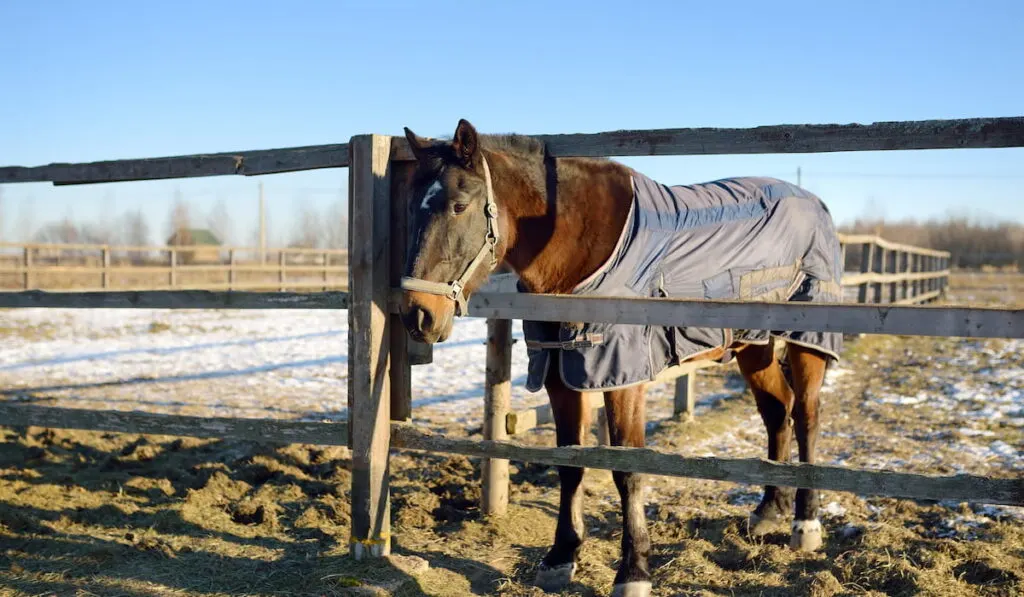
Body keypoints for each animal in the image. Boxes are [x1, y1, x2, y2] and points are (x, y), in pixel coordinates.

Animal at [397, 119, 831, 593]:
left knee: (806, 416)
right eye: (411, 208)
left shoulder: (623, 377)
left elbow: (627, 470)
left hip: (806, 342)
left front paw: (634, 572)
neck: (575, 248)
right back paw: (770, 510)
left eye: (459, 205)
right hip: (753, 346)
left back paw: (805, 523)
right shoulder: (561, 372)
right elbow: (570, 463)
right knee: (777, 411)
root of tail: (814, 202)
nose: (418, 315)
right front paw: (561, 556)